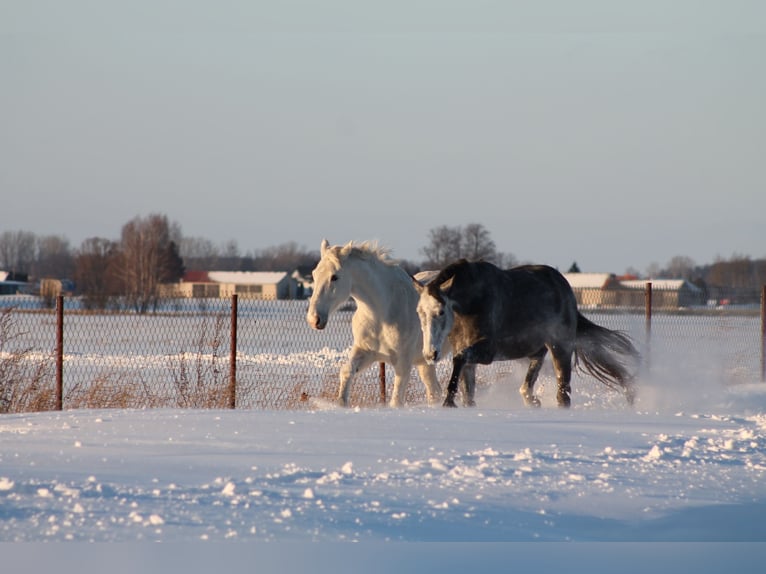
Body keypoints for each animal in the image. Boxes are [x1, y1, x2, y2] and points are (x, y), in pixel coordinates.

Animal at [306, 240, 477, 407]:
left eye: (334, 277)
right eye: (314, 274)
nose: (314, 319)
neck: (381, 315)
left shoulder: (403, 364)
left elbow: (396, 401)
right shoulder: (365, 351)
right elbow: (347, 371)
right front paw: (341, 404)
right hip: (425, 362)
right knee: (434, 391)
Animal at [415, 259, 639, 408]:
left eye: (441, 311)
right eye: (420, 312)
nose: (430, 355)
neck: (474, 302)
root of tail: (566, 289)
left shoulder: (487, 351)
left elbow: (459, 360)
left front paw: (448, 402)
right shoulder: (466, 351)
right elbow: (467, 389)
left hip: (560, 347)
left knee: (563, 392)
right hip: (537, 349)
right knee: (529, 381)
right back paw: (532, 400)